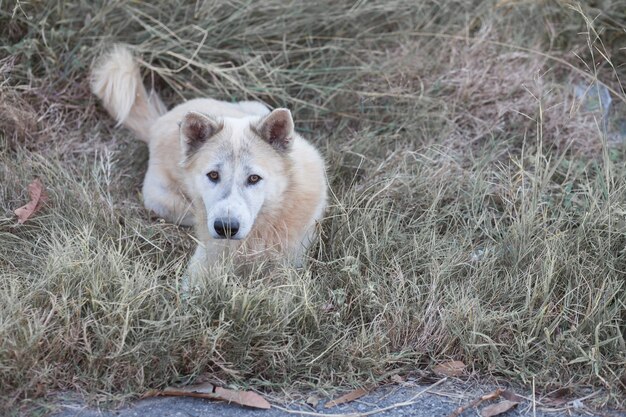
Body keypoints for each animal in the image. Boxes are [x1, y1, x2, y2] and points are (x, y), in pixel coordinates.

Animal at [91, 45, 326, 274]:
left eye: (253, 178)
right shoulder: (204, 260)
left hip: (257, 108)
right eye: (213, 175)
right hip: (169, 205)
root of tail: (158, 122)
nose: (225, 228)